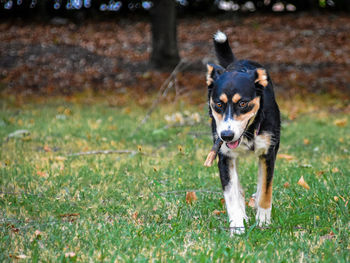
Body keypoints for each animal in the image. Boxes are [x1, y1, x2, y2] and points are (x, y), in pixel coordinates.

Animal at [206, 31, 280, 235]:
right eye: (219, 104)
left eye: (243, 103)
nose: (226, 136)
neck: (249, 131)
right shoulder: (224, 157)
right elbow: (231, 194)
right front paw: (237, 226)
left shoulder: (268, 153)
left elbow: (266, 190)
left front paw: (263, 221)